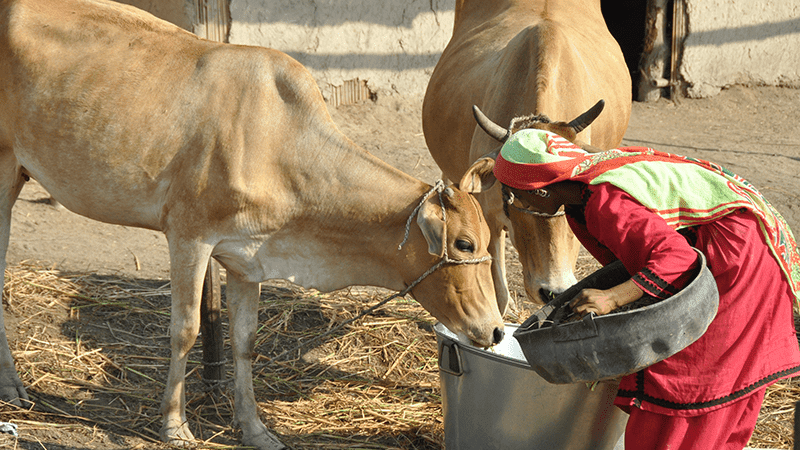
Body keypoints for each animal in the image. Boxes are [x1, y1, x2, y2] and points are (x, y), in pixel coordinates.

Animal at [0, 1, 504, 448]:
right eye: (463, 243)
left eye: (484, 241)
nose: (498, 330)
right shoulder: (189, 235)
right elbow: (185, 329)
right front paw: (174, 425)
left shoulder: (247, 257)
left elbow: (244, 341)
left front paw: (256, 430)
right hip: (5, 170)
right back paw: (12, 388)